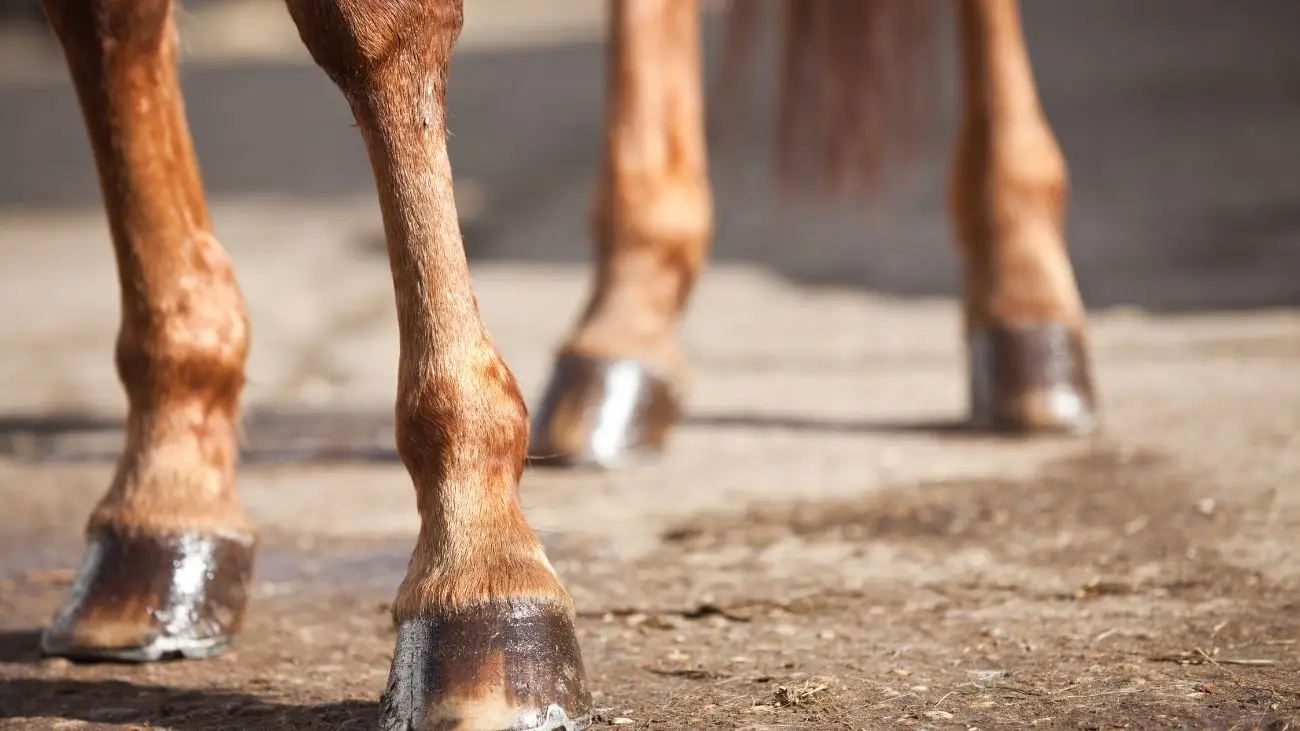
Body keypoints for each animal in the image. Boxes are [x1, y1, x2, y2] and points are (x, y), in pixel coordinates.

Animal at [33, 0, 1094, 729]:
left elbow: (369, 22)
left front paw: (480, 567)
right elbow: (108, 21)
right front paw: (167, 504)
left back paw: (1030, 315)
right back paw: (625, 333)